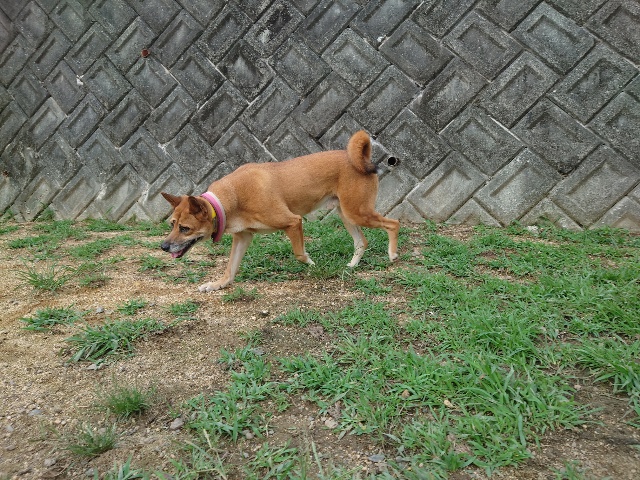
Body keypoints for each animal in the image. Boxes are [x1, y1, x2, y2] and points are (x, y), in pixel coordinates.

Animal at [160, 130, 399, 291]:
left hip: (357, 213)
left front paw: (312, 264)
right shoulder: (243, 237)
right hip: (347, 215)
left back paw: (392, 254)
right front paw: (217, 284)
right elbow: (230, 268)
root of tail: (361, 159)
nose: (163, 246)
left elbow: (300, 254)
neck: (231, 199)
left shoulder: (293, 222)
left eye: (185, 228)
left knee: (393, 224)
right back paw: (351, 266)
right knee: (362, 242)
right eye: (172, 224)